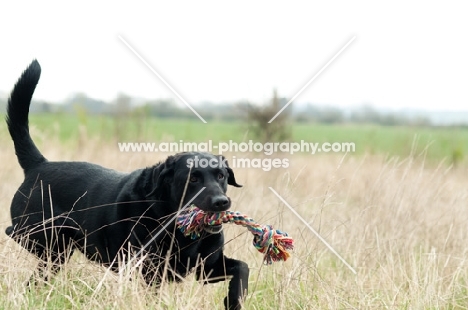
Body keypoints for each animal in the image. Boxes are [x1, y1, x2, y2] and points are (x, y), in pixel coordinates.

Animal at [4, 60, 249, 310]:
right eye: (193, 178)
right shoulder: (149, 268)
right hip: (45, 237)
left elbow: (242, 268)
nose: (221, 202)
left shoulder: (208, 269)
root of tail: (38, 164)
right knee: (14, 233)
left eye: (221, 176)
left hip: (54, 259)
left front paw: (233, 300)